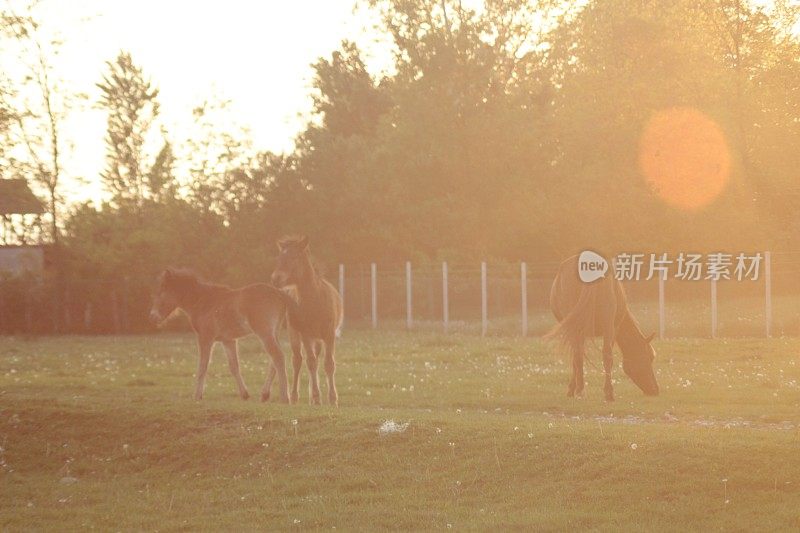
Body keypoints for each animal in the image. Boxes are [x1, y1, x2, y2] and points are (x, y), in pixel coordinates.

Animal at [149, 268, 296, 402]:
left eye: (162, 290)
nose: (153, 316)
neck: (204, 302)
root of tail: (279, 294)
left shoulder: (205, 338)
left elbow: (202, 366)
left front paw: (197, 396)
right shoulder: (228, 340)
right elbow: (234, 366)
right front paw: (244, 395)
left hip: (265, 333)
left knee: (278, 357)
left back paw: (284, 397)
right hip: (273, 333)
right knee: (274, 359)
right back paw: (265, 394)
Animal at [270, 235, 342, 406]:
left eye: (294, 257)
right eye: (279, 258)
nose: (275, 279)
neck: (315, 299)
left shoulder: (329, 334)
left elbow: (329, 363)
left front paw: (332, 399)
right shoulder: (305, 334)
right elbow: (310, 362)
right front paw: (316, 397)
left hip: (318, 339)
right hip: (294, 333)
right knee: (298, 360)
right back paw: (295, 396)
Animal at [552, 254, 656, 400]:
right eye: (650, 358)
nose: (655, 390)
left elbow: (576, 358)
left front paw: (573, 388)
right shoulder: (613, 328)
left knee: (587, 355)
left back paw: (589, 391)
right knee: (601, 355)